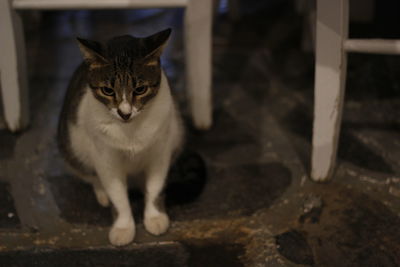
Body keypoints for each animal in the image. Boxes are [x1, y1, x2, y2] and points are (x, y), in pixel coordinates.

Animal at [57, 28, 184, 247]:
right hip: (72, 149)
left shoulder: (161, 151)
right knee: (92, 177)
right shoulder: (106, 160)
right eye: (107, 90)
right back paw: (102, 194)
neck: (131, 131)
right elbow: (118, 196)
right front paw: (123, 228)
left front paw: (155, 218)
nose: (125, 113)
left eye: (140, 89)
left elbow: (155, 186)